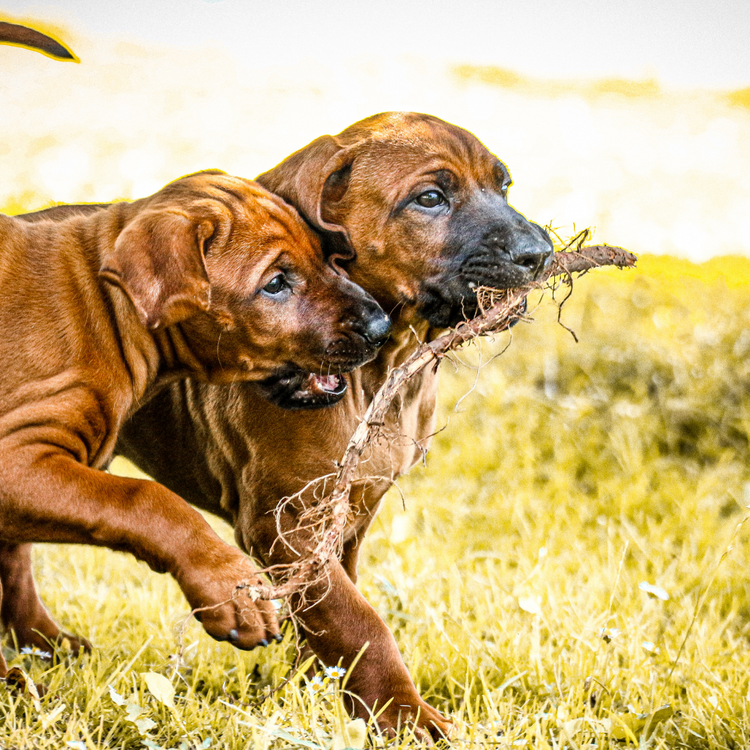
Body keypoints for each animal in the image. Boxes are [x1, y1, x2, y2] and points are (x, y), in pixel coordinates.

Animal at [0, 169, 390, 680]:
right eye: (276, 283)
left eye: (324, 256)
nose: (382, 327)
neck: (106, 310)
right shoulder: (16, 461)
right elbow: (145, 499)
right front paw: (229, 588)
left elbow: (14, 563)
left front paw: (39, 650)